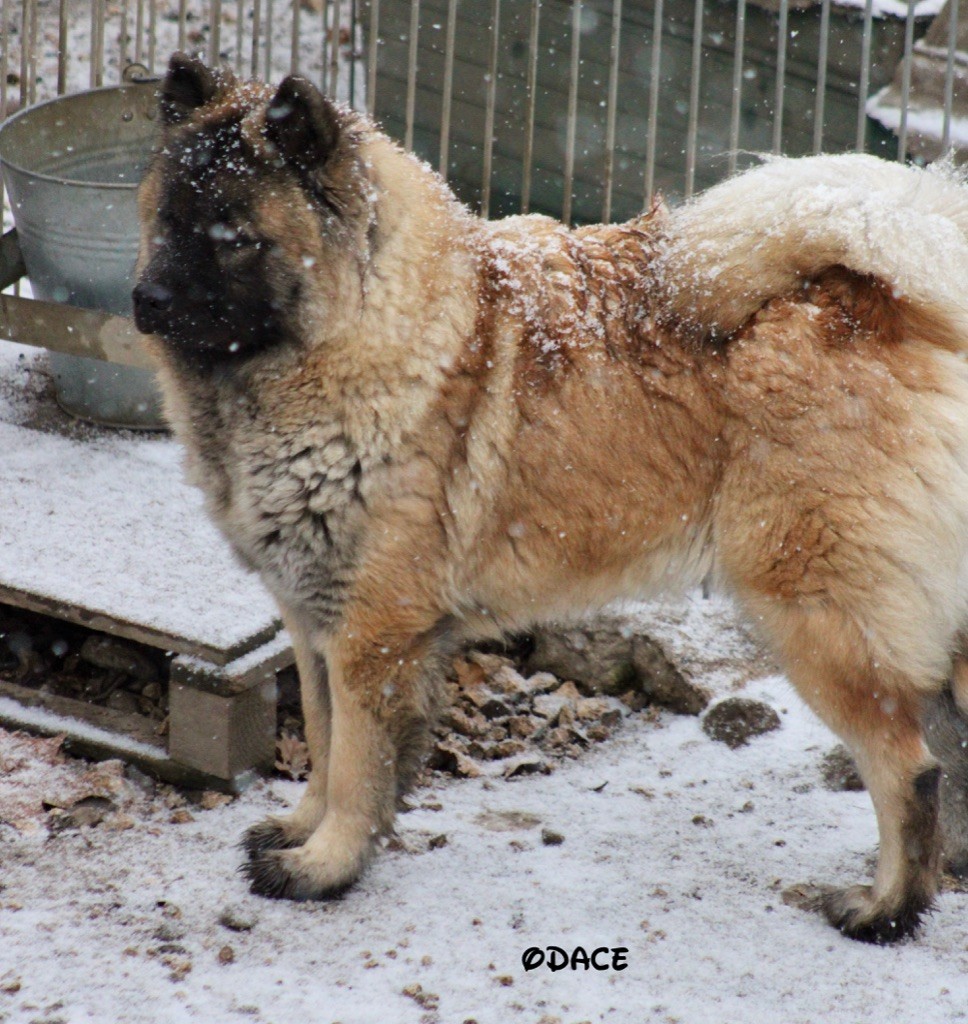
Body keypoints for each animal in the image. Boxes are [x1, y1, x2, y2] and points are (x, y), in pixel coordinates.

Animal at [132, 49, 966, 942]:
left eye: (234, 239)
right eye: (167, 220)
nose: (145, 301)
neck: (372, 339)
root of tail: (884, 301)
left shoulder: (371, 635)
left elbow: (356, 766)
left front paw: (327, 865)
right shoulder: (313, 620)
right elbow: (323, 745)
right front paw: (302, 829)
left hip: (819, 619)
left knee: (909, 771)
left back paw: (885, 909)